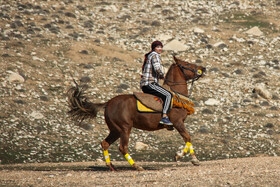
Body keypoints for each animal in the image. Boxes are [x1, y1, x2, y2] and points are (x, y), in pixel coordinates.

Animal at [67, 55, 206, 171]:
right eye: (187, 63)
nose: (203, 68)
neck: (176, 95)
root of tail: (108, 103)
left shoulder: (179, 123)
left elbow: (187, 138)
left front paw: (180, 156)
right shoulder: (177, 122)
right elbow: (187, 137)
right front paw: (191, 159)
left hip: (115, 130)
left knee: (105, 143)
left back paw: (111, 166)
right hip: (124, 128)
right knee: (122, 147)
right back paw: (136, 166)